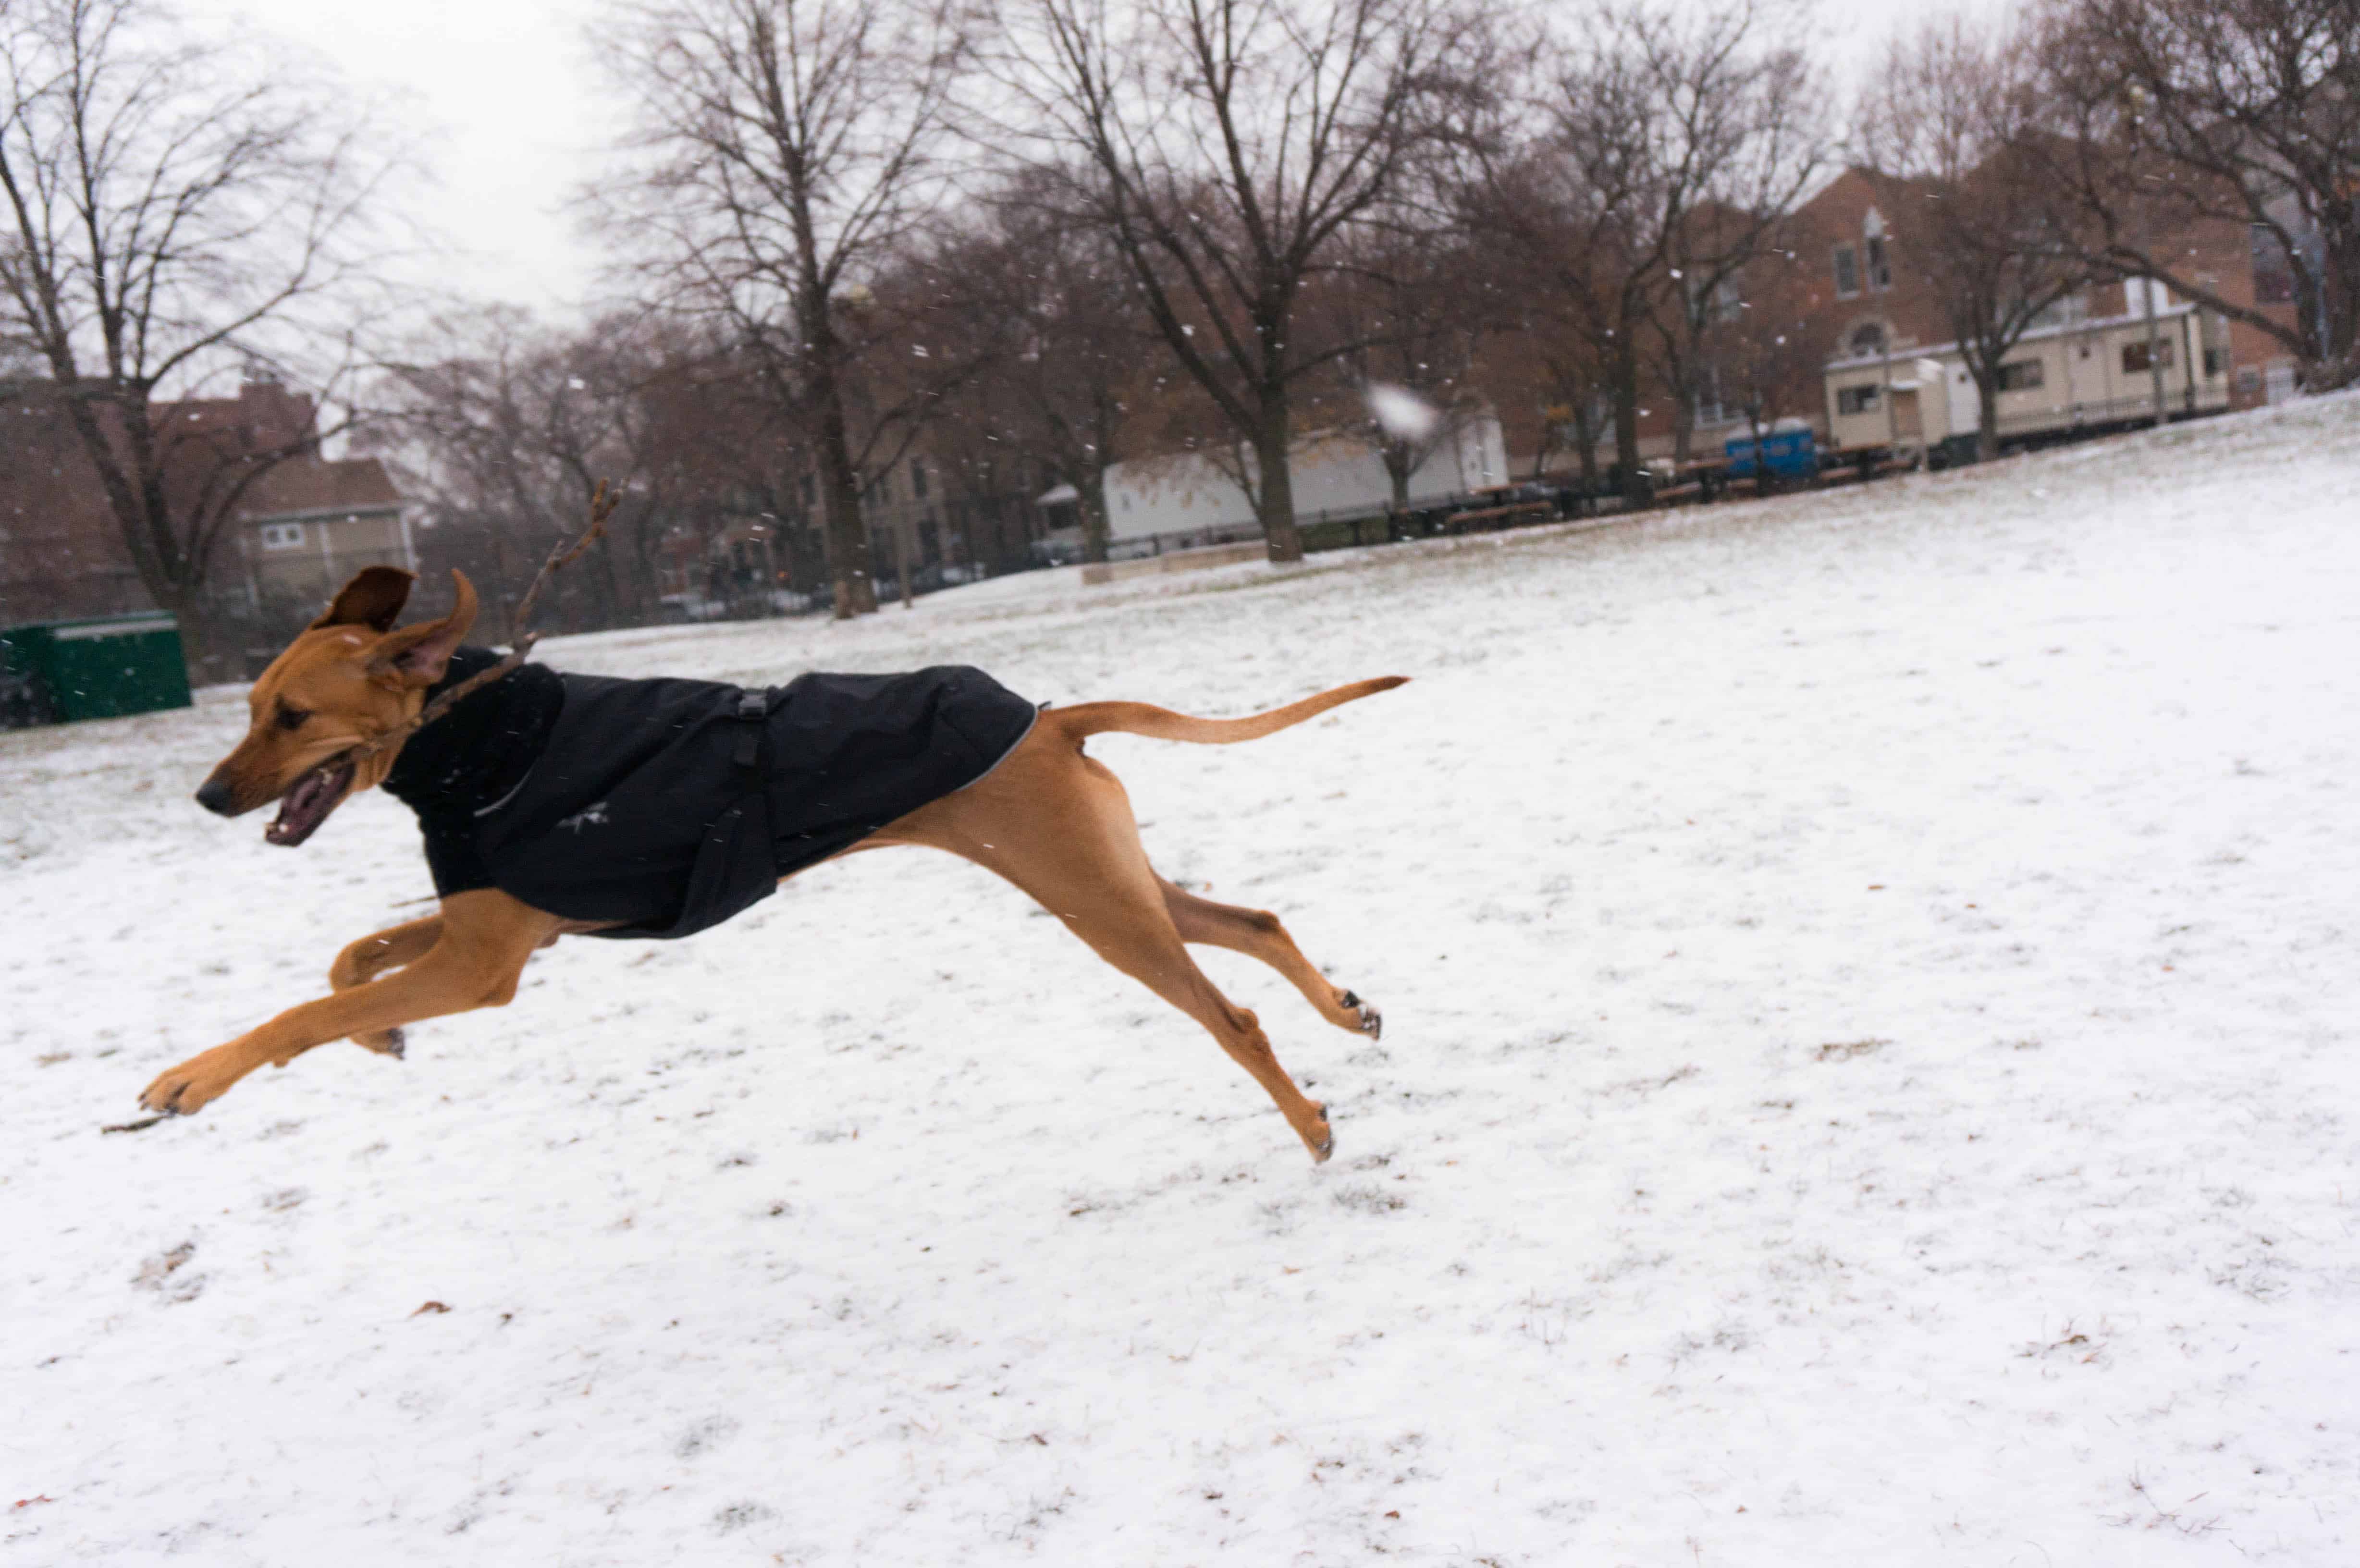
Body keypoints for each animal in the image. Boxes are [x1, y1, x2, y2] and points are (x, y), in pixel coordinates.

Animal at [143, 569, 1397, 1157]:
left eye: (293, 718)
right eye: (250, 708)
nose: (207, 797)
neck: (475, 735)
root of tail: (1048, 722)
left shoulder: (484, 963)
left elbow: (302, 1008)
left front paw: (193, 1079)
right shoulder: (501, 922)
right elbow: (350, 960)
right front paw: (378, 1035)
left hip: (1088, 897)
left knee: (1229, 1014)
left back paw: (1309, 1123)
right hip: (1103, 879)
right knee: (1252, 922)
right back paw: (1344, 1012)